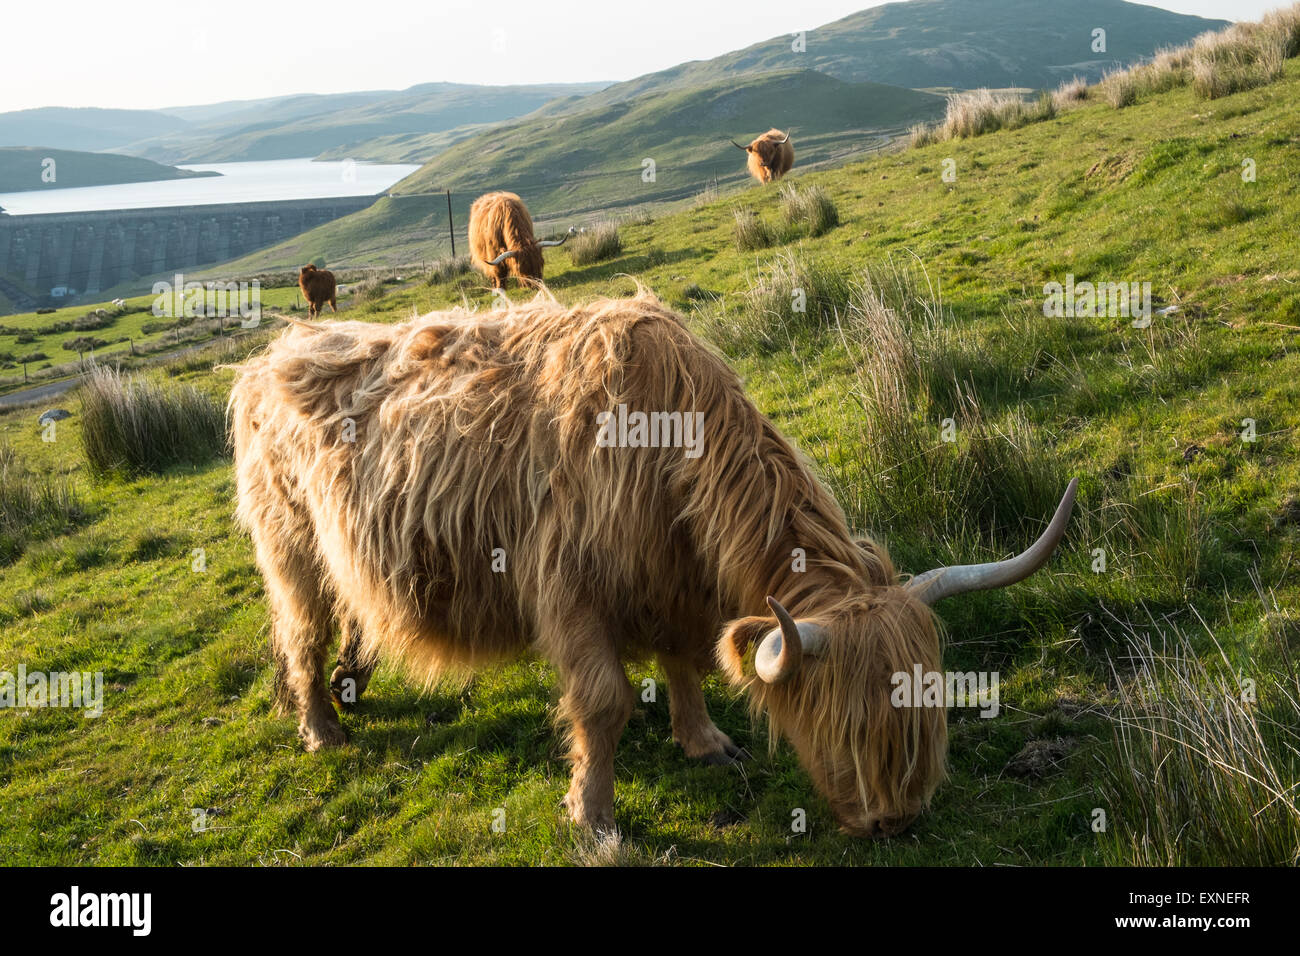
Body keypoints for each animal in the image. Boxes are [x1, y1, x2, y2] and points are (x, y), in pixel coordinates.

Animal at [226, 290, 1076, 837]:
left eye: (930, 710)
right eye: (851, 718)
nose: (896, 821)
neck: (672, 444)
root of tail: (272, 354)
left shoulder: (673, 582)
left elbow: (685, 661)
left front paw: (703, 742)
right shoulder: (568, 588)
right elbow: (602, 704)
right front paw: (595, 819)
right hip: (291, 549)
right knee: (300, 634)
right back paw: (322, 730)